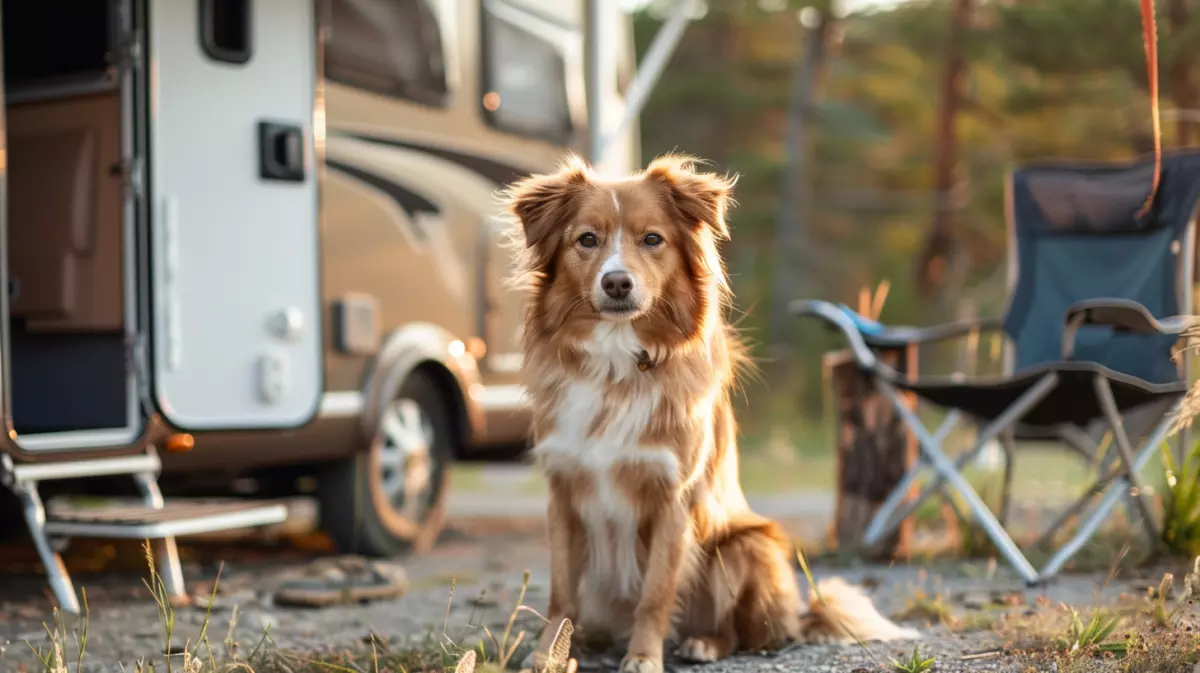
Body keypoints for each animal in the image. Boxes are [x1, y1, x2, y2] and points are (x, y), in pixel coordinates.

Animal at [501, 153, 912, 671]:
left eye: (652, 239)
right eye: (587, 239)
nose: (616, 282)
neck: (618, 365)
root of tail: (799, 617)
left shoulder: (674, 498)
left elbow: (656, 593)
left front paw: (643, 657)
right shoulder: (564, 494)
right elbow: (561, 594)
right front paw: (547, 654)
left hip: (746, 543)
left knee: (746, 633)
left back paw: (703, 643)